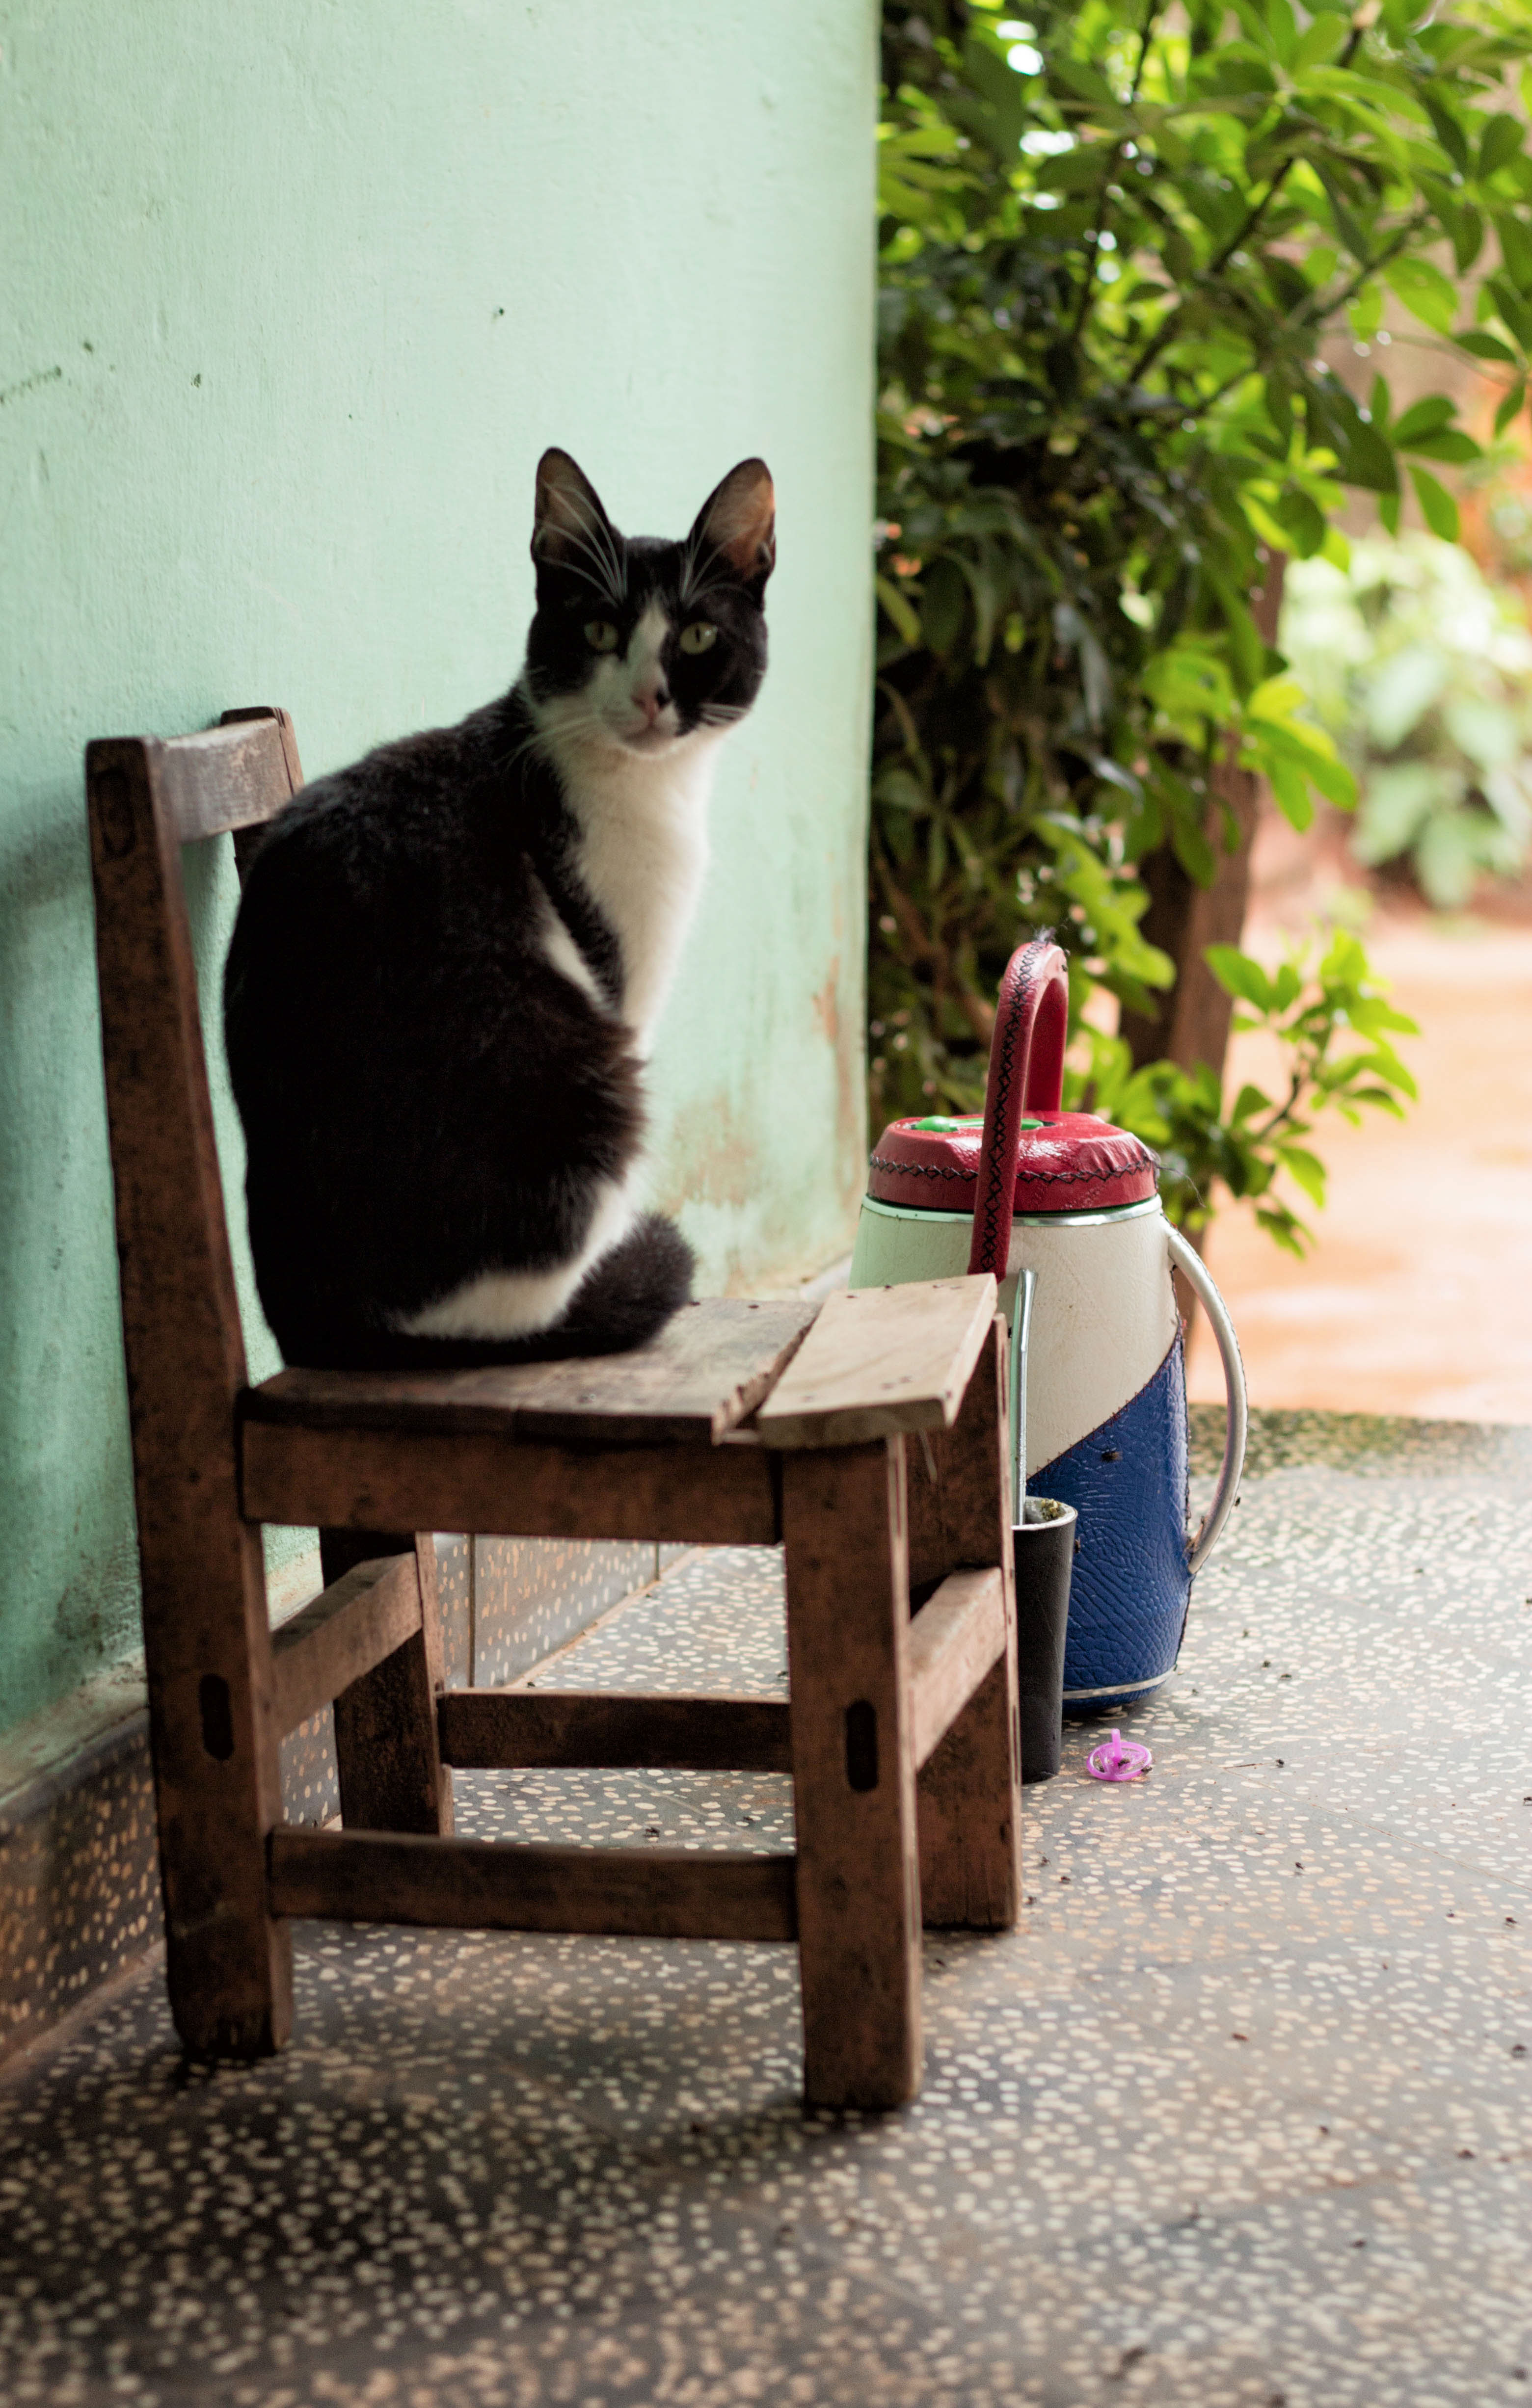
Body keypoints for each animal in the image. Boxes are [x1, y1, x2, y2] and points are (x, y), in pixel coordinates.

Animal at [221, 443, 771, 1368]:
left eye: (697, 635)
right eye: (598, 631)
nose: (650, 697)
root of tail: (320, 1322)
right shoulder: (618, 968)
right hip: (584, 1081)